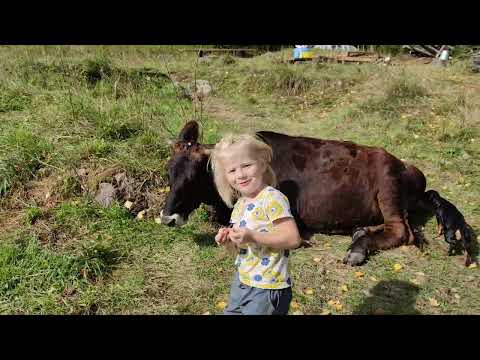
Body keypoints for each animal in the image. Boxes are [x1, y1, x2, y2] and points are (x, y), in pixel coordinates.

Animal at [159, 122, 474, 266]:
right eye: (169, 173)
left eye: (193, 178)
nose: (167, 218)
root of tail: (407, 165)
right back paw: (360, 233)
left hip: (388, 188)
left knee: (402, 231)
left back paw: (358, 248)